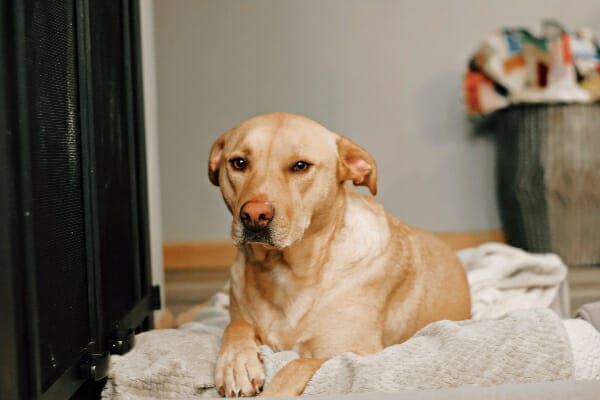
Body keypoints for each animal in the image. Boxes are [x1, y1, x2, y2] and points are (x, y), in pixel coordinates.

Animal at [209, 113, 472, 396]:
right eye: (239, 163)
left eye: (300, 166)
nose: (255, 215)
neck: (284, 270)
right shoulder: (241, 317)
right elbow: (235, 326)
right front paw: (236, 364)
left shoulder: (353, 353)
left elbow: (294, 367)